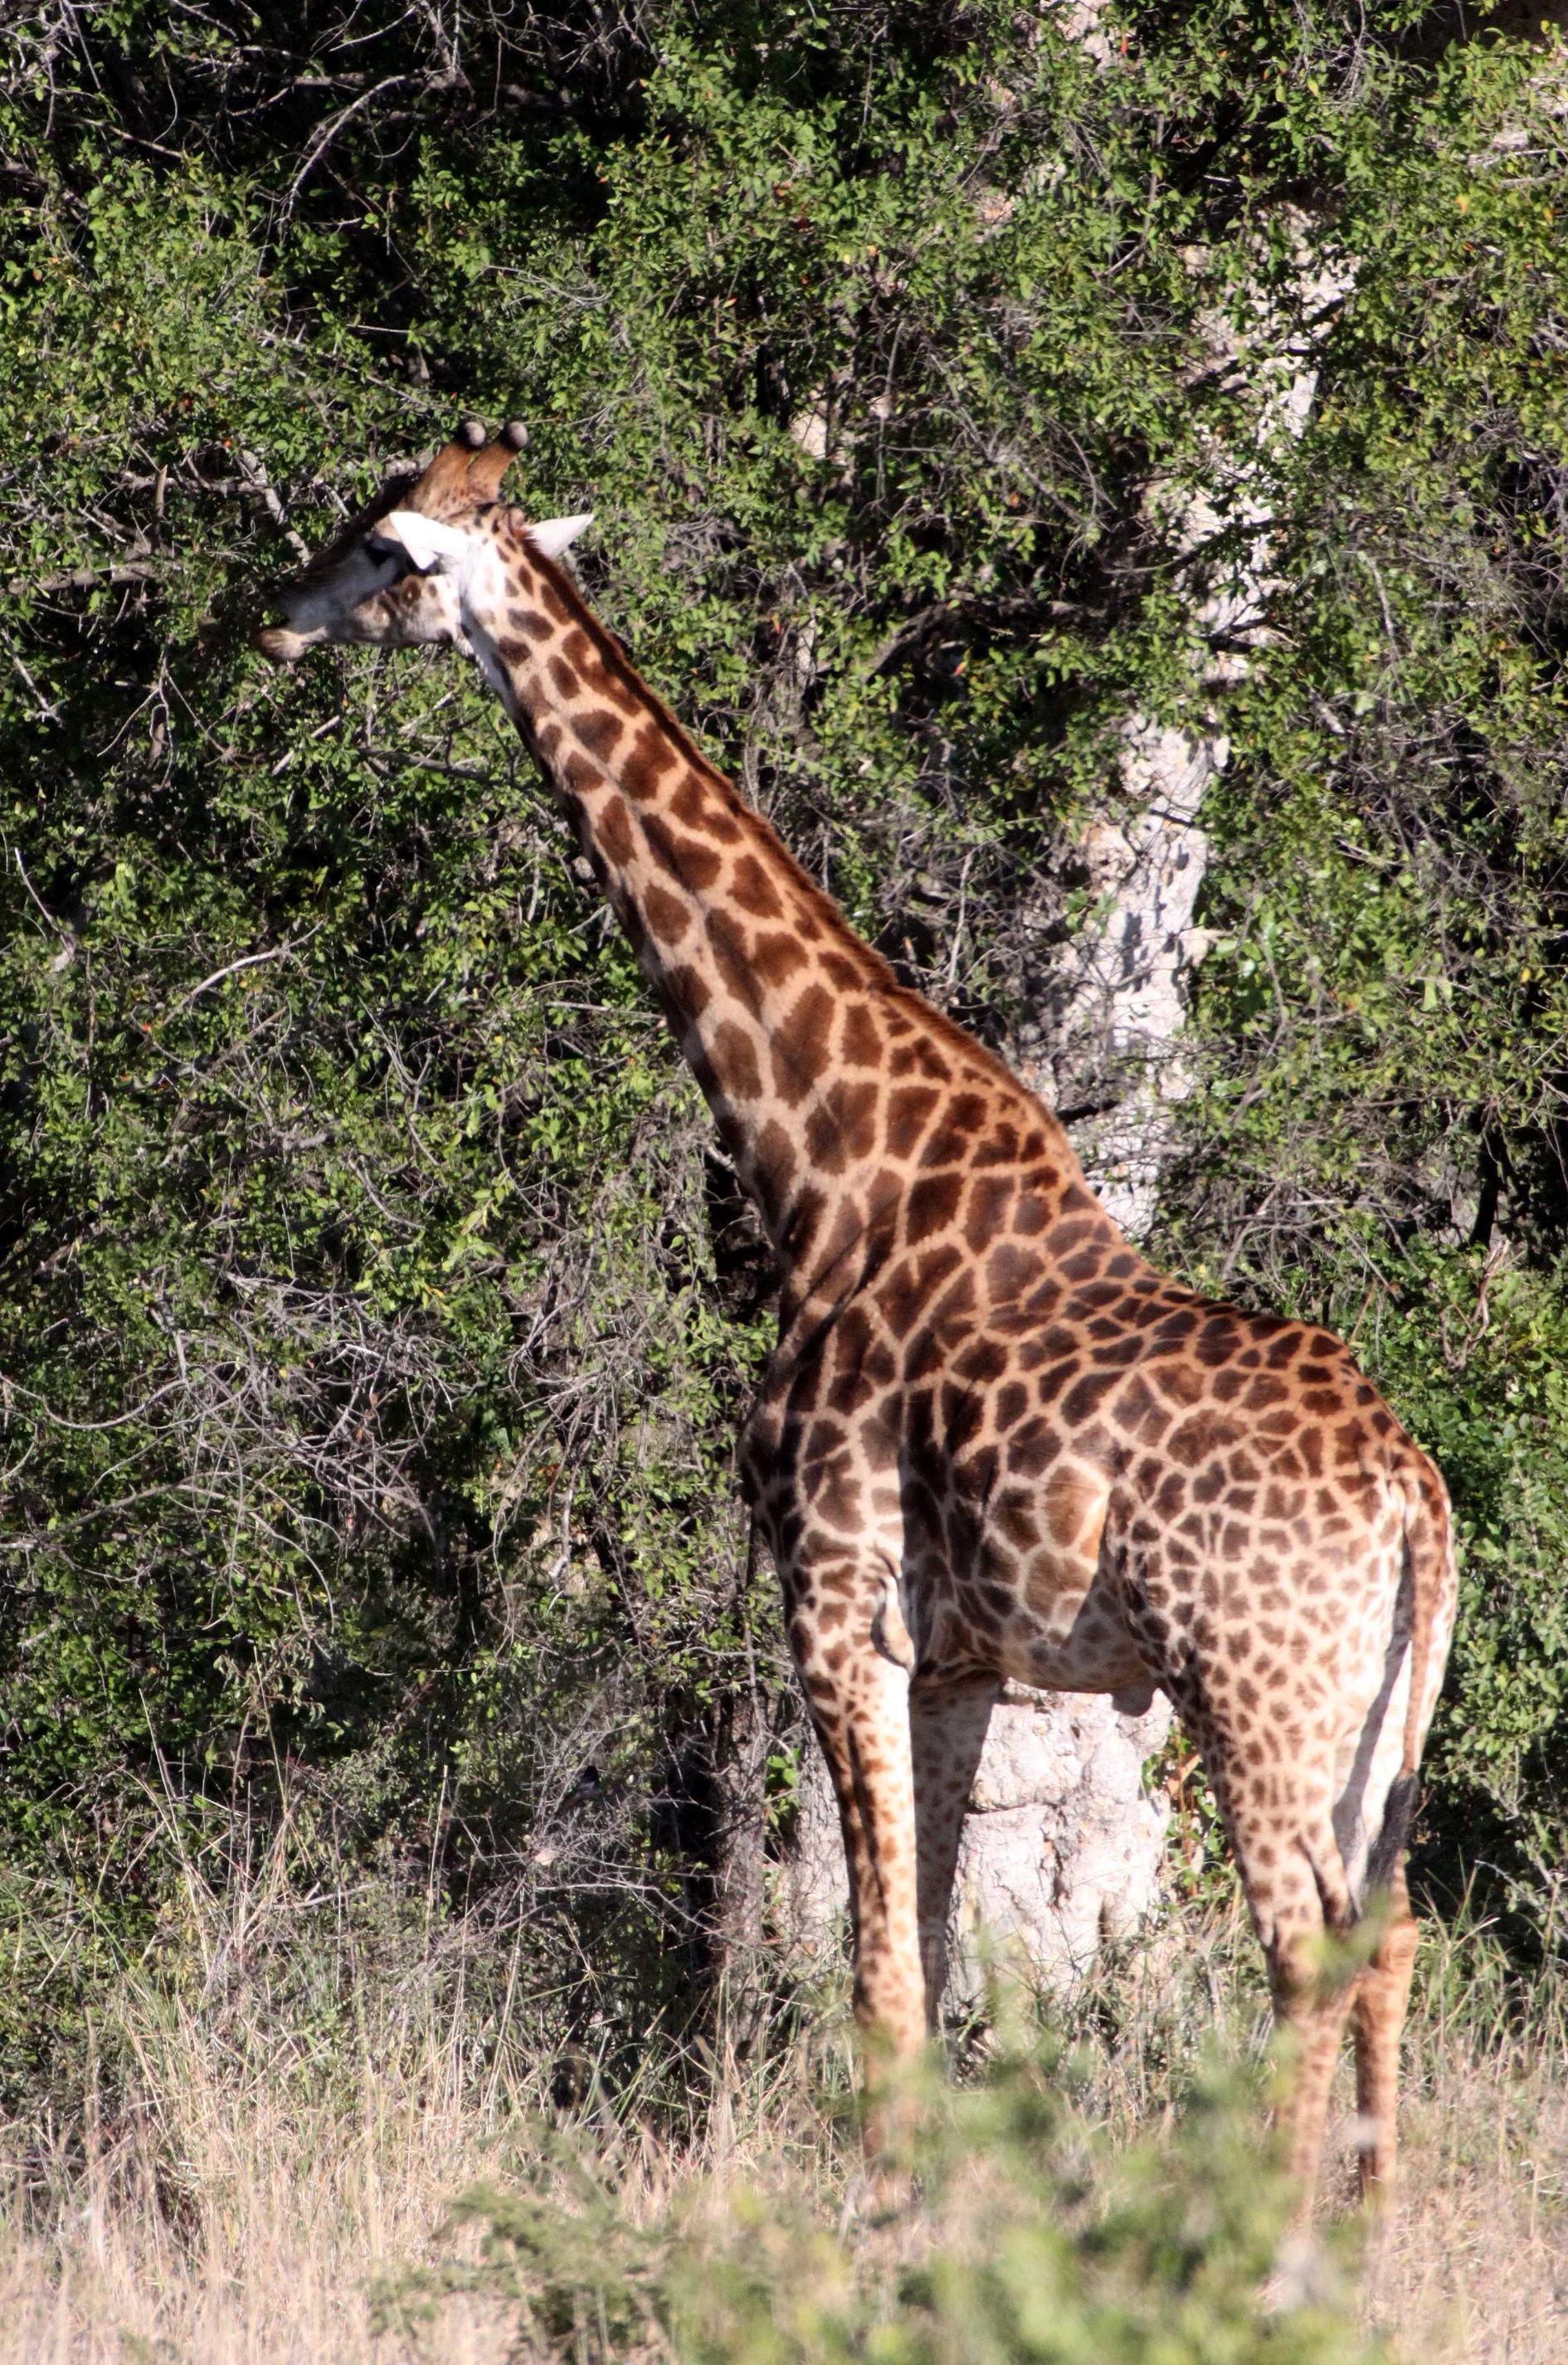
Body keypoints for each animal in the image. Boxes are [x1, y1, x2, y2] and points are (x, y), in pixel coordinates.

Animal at [256, 421, 1457, 2201]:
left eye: (375, 546)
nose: (271, 618)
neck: (820, 1165)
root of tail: (1412, 1499)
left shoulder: (831, 1596)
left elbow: (879, 1986)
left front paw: (879, 2228)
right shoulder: (962, 1656)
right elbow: (937, 1967)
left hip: (1253, 1684)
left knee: (1301, 1944)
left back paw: (1274, 2228)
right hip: (1379, 1711)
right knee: (1387, 1937)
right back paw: (1371, 2236)